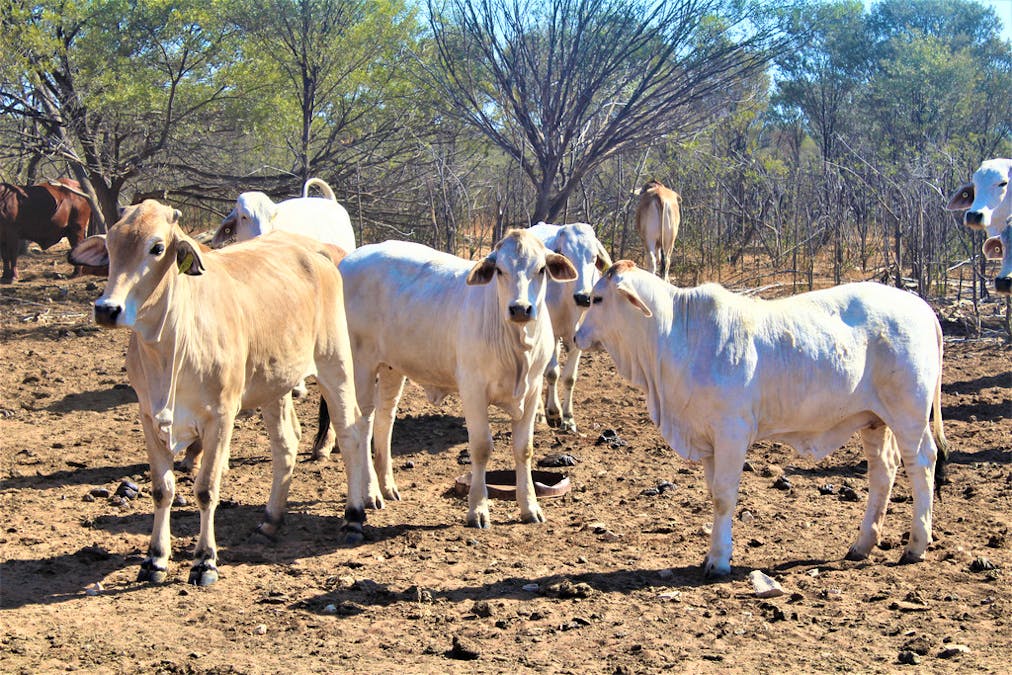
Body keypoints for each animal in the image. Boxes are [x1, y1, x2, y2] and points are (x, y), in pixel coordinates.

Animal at [71, 200, 372, 586]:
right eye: (110, 244)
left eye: (157, 247)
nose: (107, 309)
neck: (169, 344)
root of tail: (316, 248)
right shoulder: (148, 416)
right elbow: (162, 488)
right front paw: (155, 559)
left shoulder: (220, 415)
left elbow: (206, 489)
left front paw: (204, 561)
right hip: (275, 381)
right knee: (287, 442)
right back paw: (270, 521)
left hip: (335, 363)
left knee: (350, 434)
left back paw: (353, 517)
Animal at [323, 229, 578, 526]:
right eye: (500, 270)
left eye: (540, 269)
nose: (520, 308)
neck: (517, 346)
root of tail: (350, 260)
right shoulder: (473, 389)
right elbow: (481, 447)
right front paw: (478, 510)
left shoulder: (532, 390)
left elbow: (524, 448)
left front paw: (530, 508)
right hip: (360, 364)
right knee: (362, 423)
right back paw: (370, 492)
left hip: (391, 367)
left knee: (384, 418)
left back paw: (387, 487)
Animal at [526, 221, 611, 433]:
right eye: (565, 253)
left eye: (594, 257)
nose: (583, 297)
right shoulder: (552, 334)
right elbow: (551, 373)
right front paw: (553, 412)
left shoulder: (576, 338)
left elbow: (569, 377)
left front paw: (568, 417)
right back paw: (539, 412)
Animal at [578, 261, 947, 578]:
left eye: (598, 298)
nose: (576, 335)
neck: (674, 336)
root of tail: (923, 308)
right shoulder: (708, 439)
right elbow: (714, 492)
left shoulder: (732, 432)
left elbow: (724, 496)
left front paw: (719, 560)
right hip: (875, 420)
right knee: (883, 470)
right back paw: (862, 545)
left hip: (909, 415)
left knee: (921, 463)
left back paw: (916, 545)